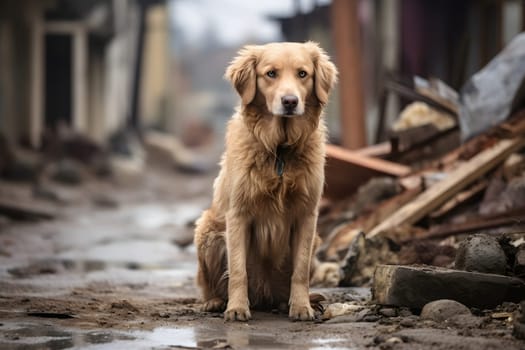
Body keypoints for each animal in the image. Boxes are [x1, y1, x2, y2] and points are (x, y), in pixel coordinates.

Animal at [194, 40, 338, 320]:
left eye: (302, 74)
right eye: (271, 73)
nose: (290, 101)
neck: (279, 149)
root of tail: (264, 296)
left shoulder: (307, 214)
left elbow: (300, 270)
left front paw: (301, 307)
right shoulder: (238, 214)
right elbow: (238, 270)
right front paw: (237, 308)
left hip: (315, 239)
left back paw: (284, 303)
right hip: (207, 232)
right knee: (210, 284)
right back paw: (215, 302)